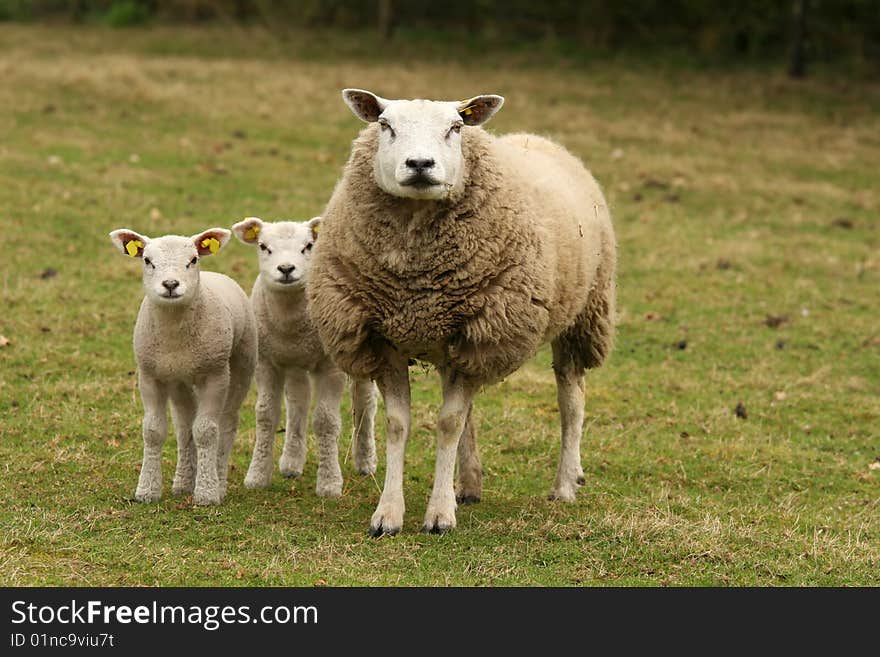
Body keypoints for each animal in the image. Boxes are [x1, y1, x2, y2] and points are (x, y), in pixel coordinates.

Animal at [108, 228, 256, 504]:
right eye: (147, 261)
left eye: (193, 260)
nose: (170, 285)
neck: (174, 335)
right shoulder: (149, 375)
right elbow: (153, 431)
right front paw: (147, 490)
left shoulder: (215, 375)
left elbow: (206, 432)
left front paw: (207, 493)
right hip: (180, 379)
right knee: (185, 426)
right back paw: (184, 482)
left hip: (242, 363)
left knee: (227, 422)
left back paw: (218, 481)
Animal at [230, 217, 378, 498]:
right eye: (263, 246)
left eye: (308, 246)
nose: (286, 269)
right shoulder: (266, 364)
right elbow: (266, 416)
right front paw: (256, 476)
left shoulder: (331, 367)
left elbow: (326, 421)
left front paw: (329, 483)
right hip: (295, 362)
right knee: (298, 401)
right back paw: (291, 462)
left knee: (365, 402)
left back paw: (366, 461)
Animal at [310, 91, 620, 532]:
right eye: (386, 125)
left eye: (455, 127)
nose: (420, 164)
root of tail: (538, 138)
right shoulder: (385, 339)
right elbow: (399, 424)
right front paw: (388, 513)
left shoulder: (479, 334)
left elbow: (448, 423)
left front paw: (439, 515)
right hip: (456, 345)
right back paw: (469, 484)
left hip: (581, 315)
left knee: (571, 401)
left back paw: (565, 484)